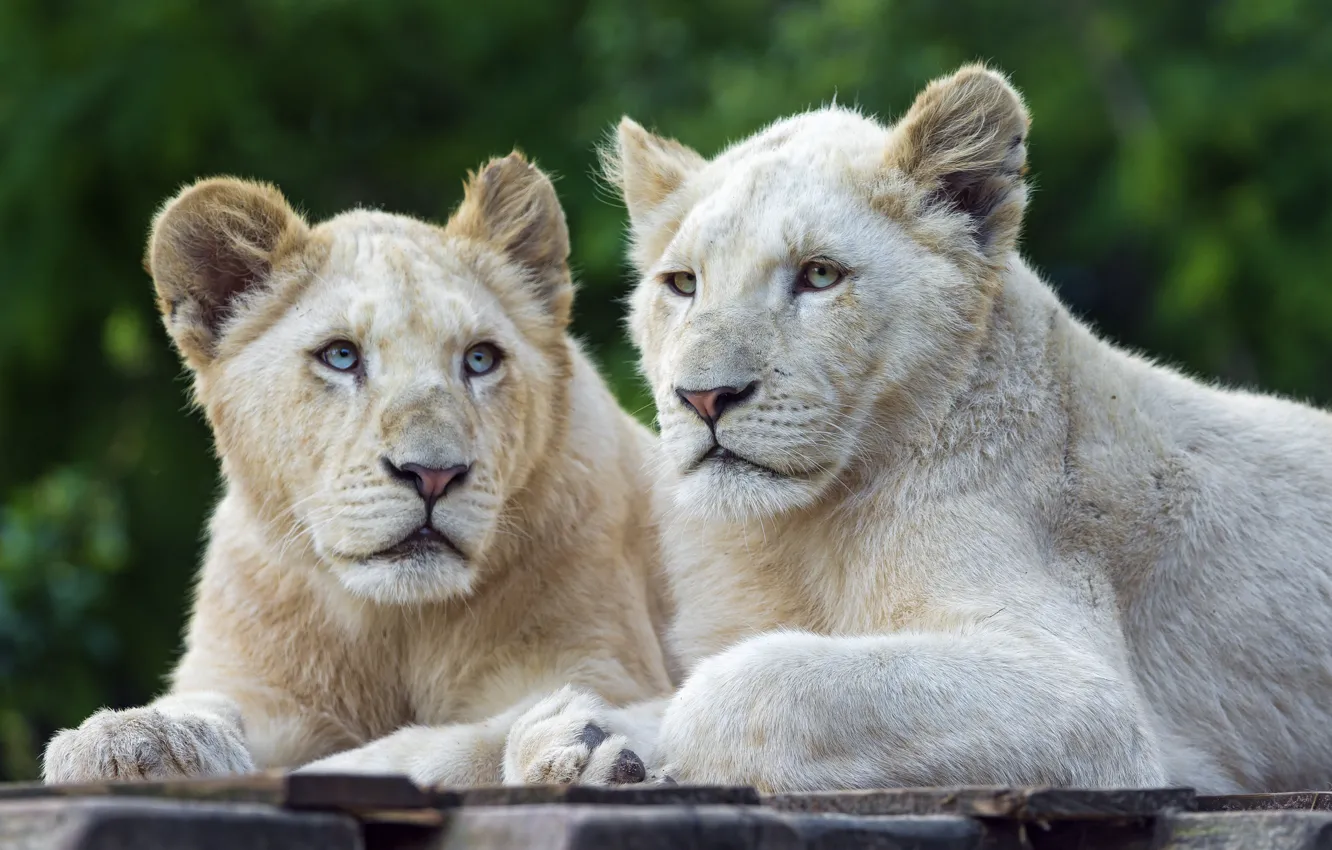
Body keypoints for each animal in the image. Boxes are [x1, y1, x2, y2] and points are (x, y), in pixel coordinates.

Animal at [516, 63, 1332, 794]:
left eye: (819, 275)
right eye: (683, 284)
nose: (704, 397)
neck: (790, 538)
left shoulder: (1089, 700)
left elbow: (757, 683)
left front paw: (633, 742)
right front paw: (574, 741)